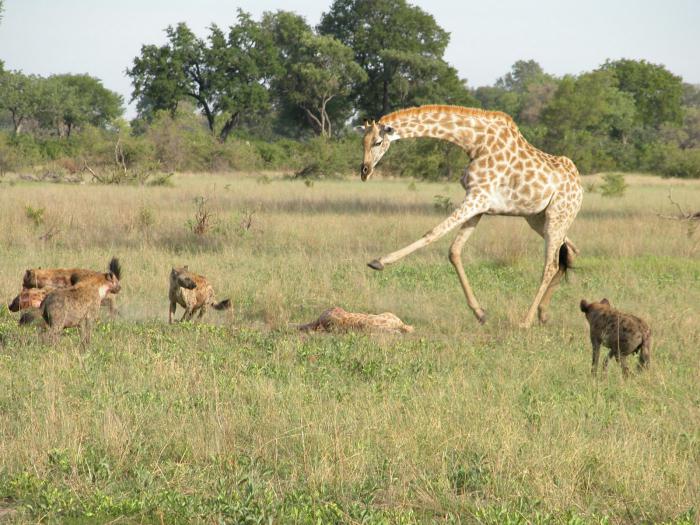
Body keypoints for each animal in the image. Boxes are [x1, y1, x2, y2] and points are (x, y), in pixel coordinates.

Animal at [358, 105, 584, 328]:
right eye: (362, 142)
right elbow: (454, 251)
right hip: (538, 218)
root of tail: (579, 185)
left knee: (551, 264)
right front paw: (480, 313)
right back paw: (543, 313)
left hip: (557, 215)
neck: (475, 143)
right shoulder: (478, 204)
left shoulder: (478, 197)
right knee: (570, 251)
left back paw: (525, 321)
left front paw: (379, 261)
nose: (365, 171)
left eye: (378, 142)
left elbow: (433, 233)